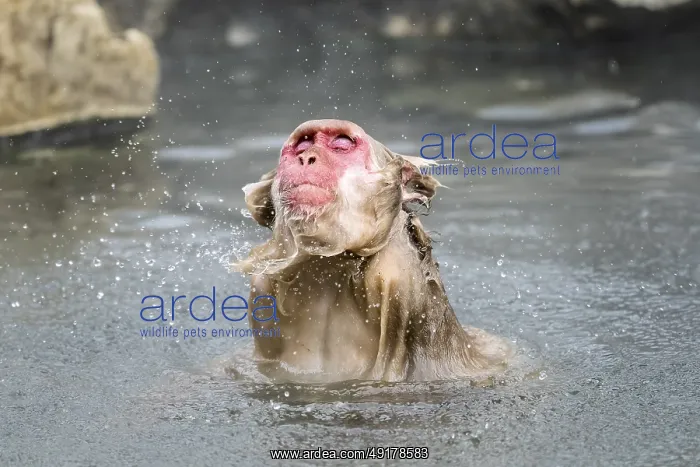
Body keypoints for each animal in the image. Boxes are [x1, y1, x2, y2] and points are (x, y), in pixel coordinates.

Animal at [232, 119, 513, 383]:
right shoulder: (261, 287)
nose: (305, 158)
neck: (333, 265)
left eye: (341, 144)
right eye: (303, 144)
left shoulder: (395, 277)